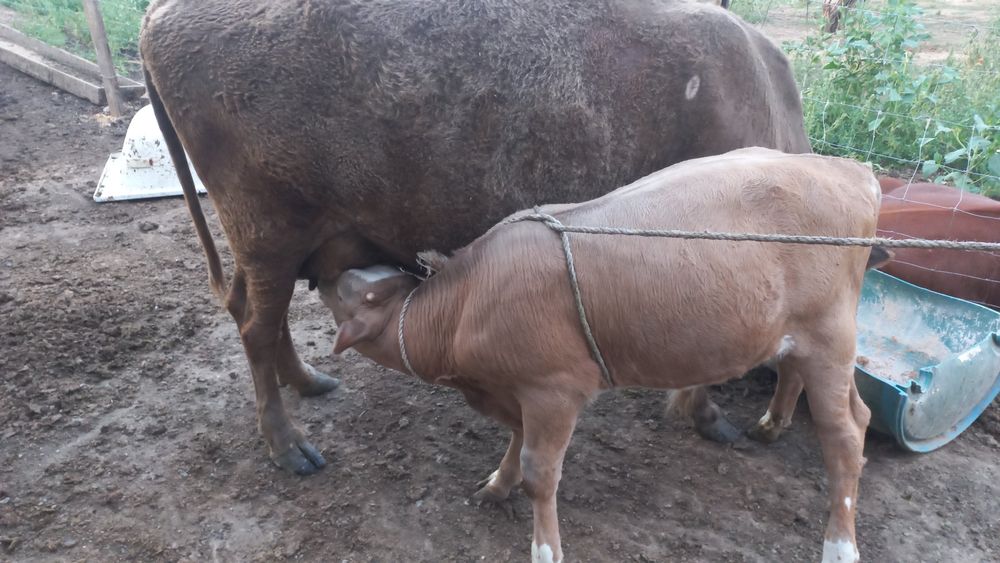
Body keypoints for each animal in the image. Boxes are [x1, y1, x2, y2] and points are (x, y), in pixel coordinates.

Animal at [141, 0, 811, 474]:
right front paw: (709, 417)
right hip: (268, 229)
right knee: (256, 325)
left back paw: (310, 383)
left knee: (255, 312)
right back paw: (289, 449)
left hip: (273, 244)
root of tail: (159, 13)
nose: (779, 426)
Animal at [319, 148, 882, 563]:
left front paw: (544, 547)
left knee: (846, 436)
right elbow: (515, 441)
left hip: (828, 337)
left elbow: (540, 473)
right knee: (828, 394)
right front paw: (497, 484)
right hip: (808, 338)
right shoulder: (517, 390)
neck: (465, 306)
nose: (329, 273)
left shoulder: (553, 388)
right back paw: (770, 425)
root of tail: (849, 169)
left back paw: (840, 546)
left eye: (364, 297)